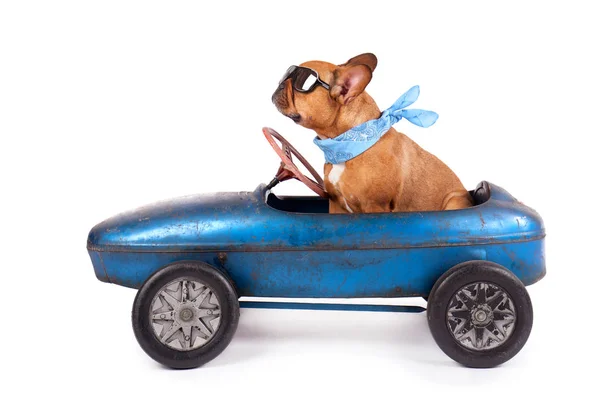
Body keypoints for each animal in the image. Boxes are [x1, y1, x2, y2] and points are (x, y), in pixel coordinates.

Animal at [272, 55, 474, 216]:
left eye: (300, 82)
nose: (279, 83)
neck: (350, 142)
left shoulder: (375, 206)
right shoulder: (336, 205)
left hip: (454, 201)